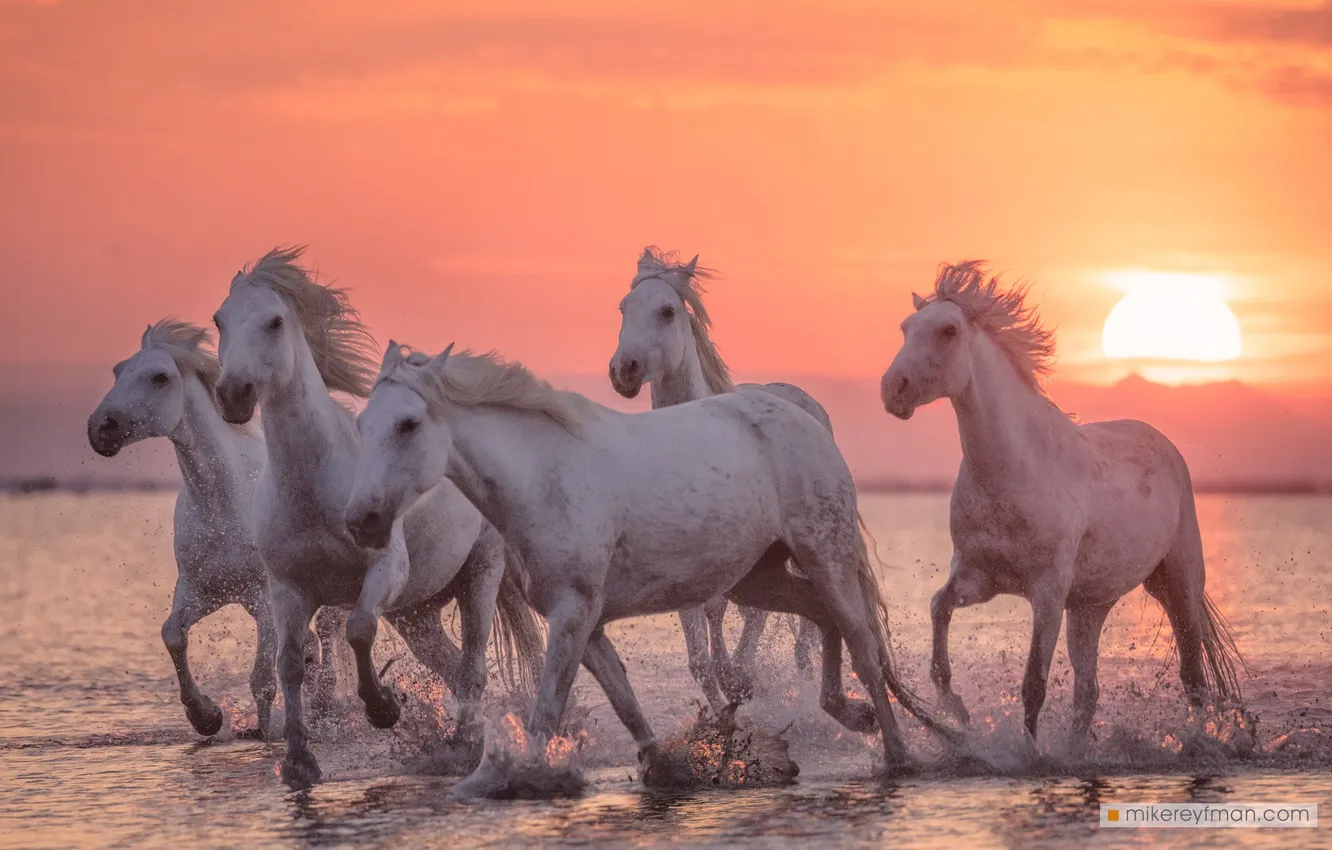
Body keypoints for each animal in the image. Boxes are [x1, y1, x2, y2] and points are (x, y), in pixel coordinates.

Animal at [86, 319, 341, 738]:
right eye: (118, 371)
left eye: (160, 377)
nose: (100, 429)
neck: (224, 504)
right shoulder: (202, 589)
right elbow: (172, 634)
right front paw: (206, 716)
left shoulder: (264, 597)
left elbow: (262, 679)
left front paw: (262, 733)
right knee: (312, 644)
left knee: (331, 633)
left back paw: (328, 706)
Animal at [211, 247, 544, 786]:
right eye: (219, 320)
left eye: (274, 321)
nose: (233, 394)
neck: (313, 483)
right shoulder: (288, 588)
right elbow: (290, 664)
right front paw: (300, 761)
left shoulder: (385, 569)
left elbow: (359, 630)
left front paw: (384, 707)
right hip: (417, 610)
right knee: (450, 666)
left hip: (481, 572)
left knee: (472, 667)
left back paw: (462, 748)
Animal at [345, 342, 961, 794]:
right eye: (362, 424)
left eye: (407, 424)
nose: (362, 520)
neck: (542, 481)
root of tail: (805, 417)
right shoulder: (586, 621)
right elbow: (623, 699)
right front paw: (667, 768)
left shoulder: (572, 613)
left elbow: (547, 710)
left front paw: (519, 779)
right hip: (759, 578)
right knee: (823, 616)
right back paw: (848, 714)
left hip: (824, 553)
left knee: (862, 646)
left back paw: (898, 756)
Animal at [608, 247, 822, 708]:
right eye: (623, 307)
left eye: (667, 311)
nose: (623, 370)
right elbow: (698, 652)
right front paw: (723, 702)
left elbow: (721, 615)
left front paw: (736, 679)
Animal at [879, 260, 1244, 748]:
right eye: (906, 327)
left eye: (949, 330)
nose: (892, 389)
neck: (1012, 473)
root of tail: (1164, 443)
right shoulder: (977, 578)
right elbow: (938, 611)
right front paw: (957, 711)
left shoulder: (1048, 592)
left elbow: (1033, 683)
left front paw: (1030, 752)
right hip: (1089, 607)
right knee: (1088, 692)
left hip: (1179, 583)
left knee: (1192, 678)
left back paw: (1197, 737)